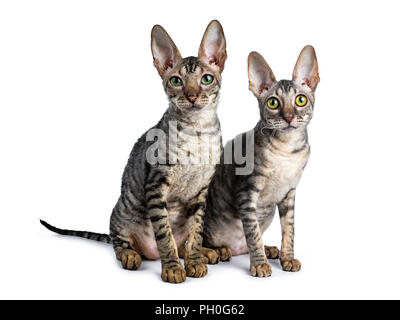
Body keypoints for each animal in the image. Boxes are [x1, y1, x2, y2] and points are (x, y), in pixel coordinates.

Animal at [42, 20, 228, 284]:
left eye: (207, 78)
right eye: (176, 81)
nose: (192, 96)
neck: (198, 133)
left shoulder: (201, 191)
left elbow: (196, 232)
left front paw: (194, 261)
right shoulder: (156, 185)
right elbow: (165, 236)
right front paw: (173, 268)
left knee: (183, 242)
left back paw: (207, 252)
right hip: (122, 212)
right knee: (120, 243)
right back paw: (132, 255)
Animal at [203, 45, 318, 278]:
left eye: (300, 100)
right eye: (273, 103)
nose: (289, 117)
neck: (286, 151)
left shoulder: (289, 192)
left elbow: (290, 229)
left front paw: (287, 258)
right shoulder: (247, 191)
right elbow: (252, 232)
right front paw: (259, 264)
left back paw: (268, 249)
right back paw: (216, 252)